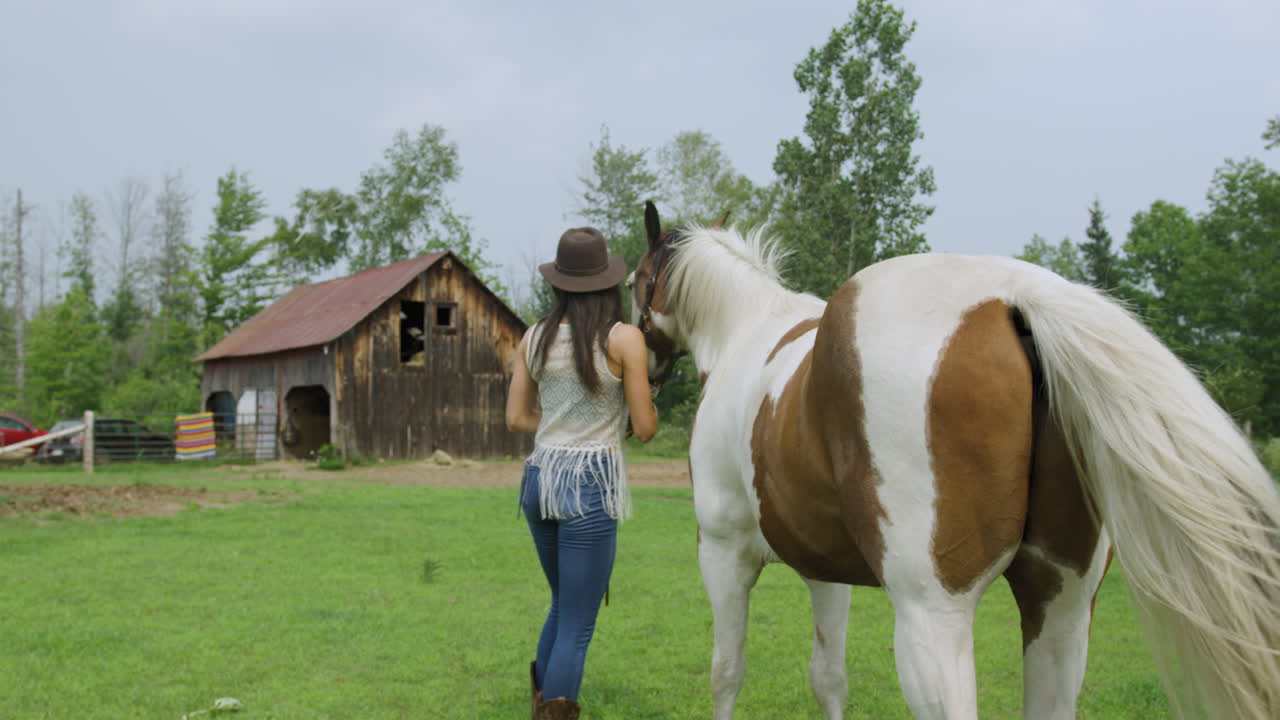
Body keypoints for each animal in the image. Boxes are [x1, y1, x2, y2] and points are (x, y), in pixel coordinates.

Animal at [629, 202, 1280, 720]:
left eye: (637, 278)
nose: (644, 370)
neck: (744, 334)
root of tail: (1013, 299)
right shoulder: (824, 570)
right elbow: (829, 678)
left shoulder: (724, 553)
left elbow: (726, 672)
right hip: (1062, 607)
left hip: (933, 615)